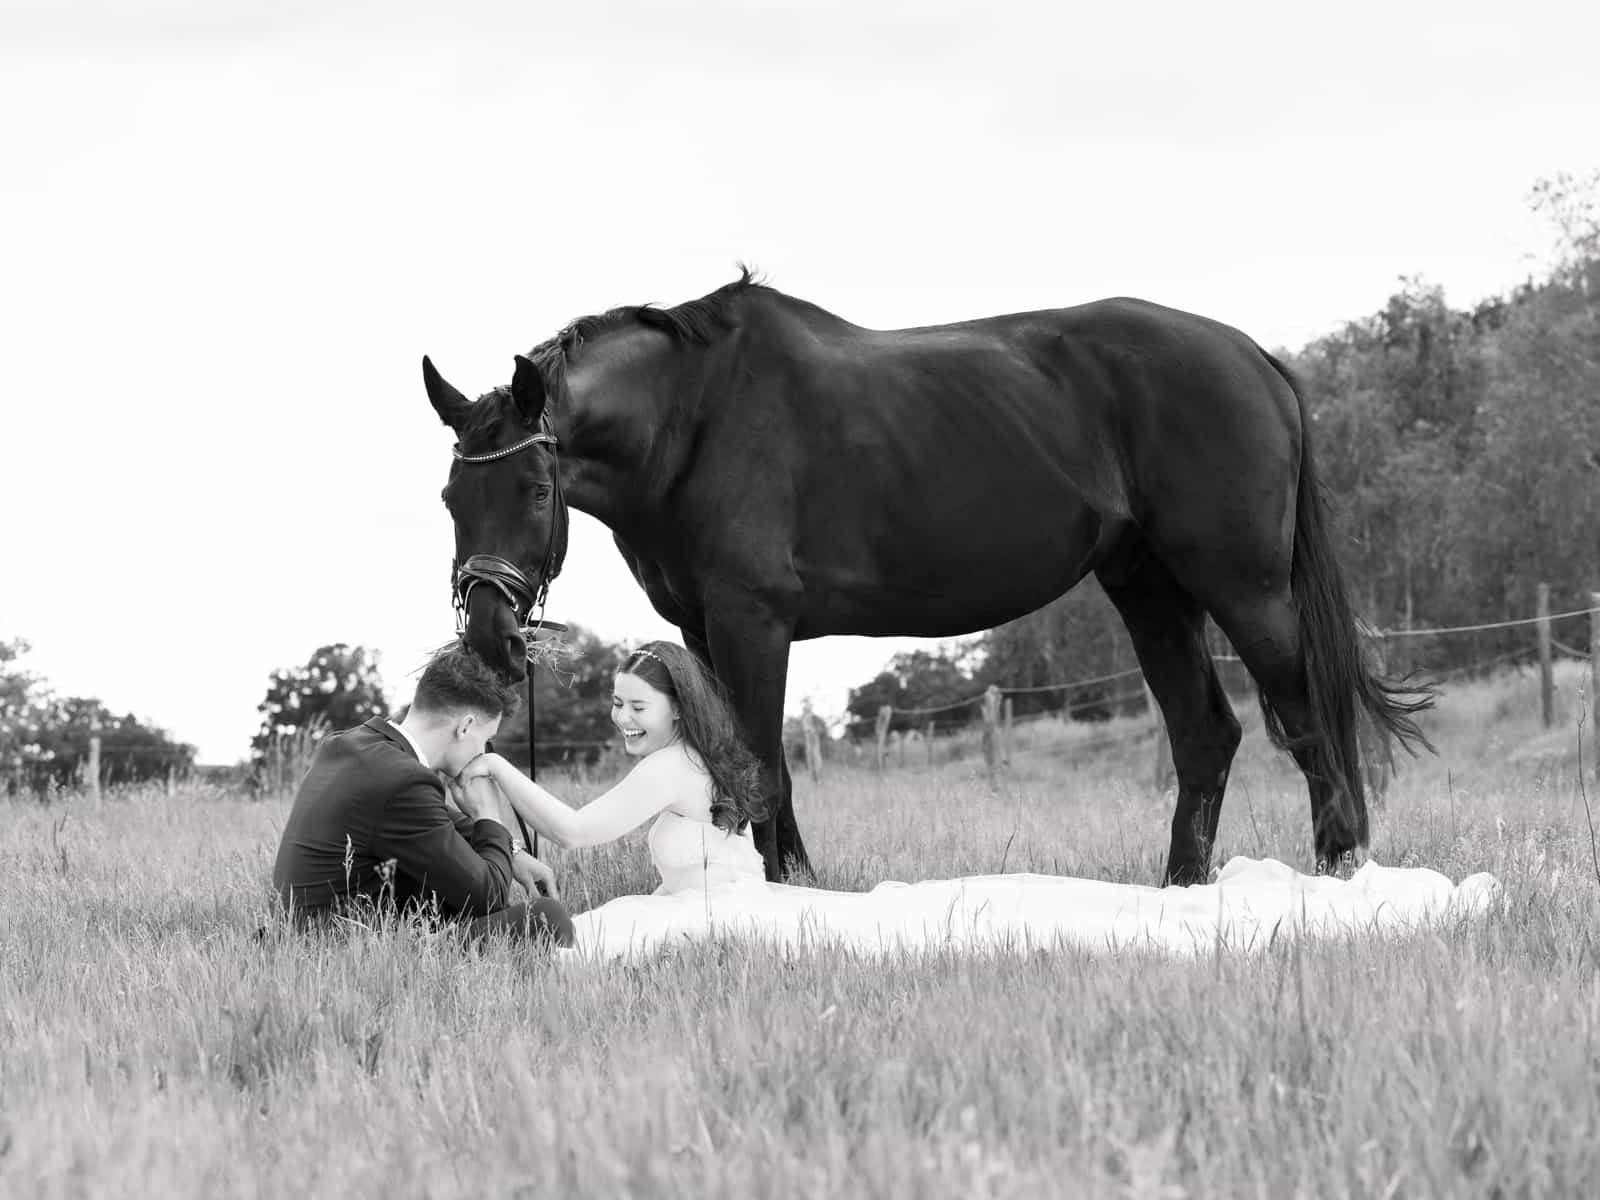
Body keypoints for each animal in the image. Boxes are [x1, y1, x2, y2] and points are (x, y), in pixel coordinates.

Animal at [423, 269, 1431, 885]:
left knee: (1306, 715)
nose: (491, 635)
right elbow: (740, 765)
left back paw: (1338, 868)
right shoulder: (703, 631)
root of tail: (1255, 356)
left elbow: (762, 764)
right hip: (1150, 589)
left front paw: (784, 891)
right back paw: (1183, 888)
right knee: (1206, 734)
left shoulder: (754, 622)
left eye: (535, 486)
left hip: (1244, 589)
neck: (696, 418)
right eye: (449, 495)